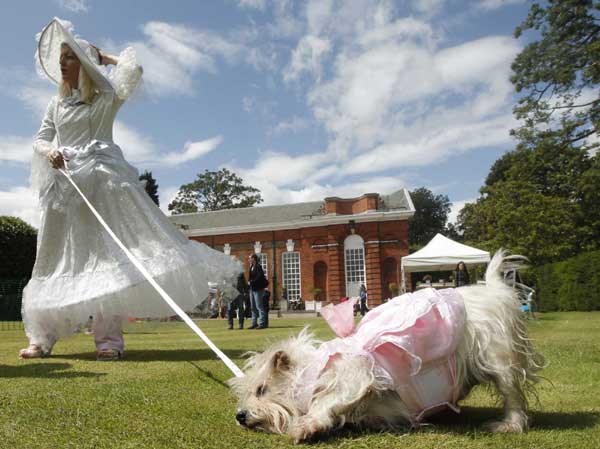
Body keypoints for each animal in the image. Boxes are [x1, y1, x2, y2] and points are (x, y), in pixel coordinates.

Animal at [229, 250, 544, 442]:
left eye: (261, 390)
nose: (240, 416)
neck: (312, 371)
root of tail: (493, 290)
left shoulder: (357, 373)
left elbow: (327, 400)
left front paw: (307, 424)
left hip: (500, 360)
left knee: (513, 395)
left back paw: (510, 423)